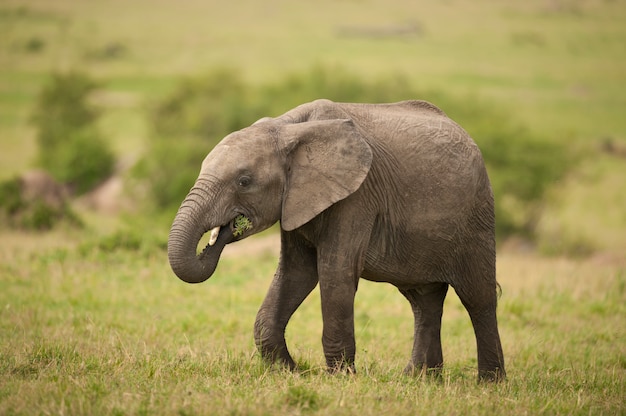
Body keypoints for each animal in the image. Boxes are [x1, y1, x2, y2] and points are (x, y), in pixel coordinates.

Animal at [168, 97, 504, 380]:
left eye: (244, 181)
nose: (220, 235)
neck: (287, 127)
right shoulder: (298, 201)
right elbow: (295, 274)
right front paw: (289, 373)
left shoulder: (356, 196)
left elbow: (335, 273)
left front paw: (340, 379)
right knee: (423, 301)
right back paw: (418, 380)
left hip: (476, 218)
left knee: (478, 298)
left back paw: (489, 384)